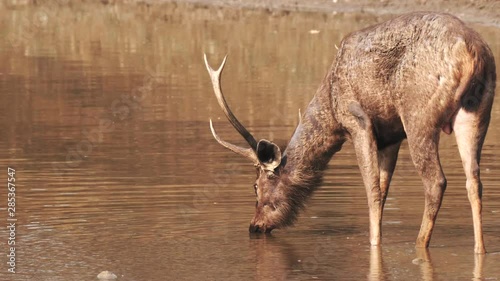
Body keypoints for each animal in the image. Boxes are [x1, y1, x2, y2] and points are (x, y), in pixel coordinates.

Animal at [204, 12, 496, 253]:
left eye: (255, 186)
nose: (254, 226)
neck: (330, 108)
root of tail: (471, 52)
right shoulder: (391, 135)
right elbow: (384, 188)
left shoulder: (358, 121)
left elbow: (373, 190)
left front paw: (374, 244)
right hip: (477, 110)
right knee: (474, 181)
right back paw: (479, 249)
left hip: (418, 114)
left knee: (436, 181)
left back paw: (419, 244)